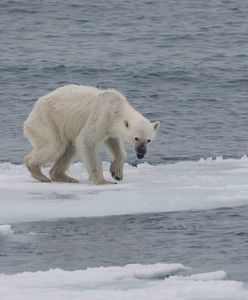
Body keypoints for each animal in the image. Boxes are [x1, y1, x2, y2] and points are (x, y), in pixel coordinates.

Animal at [22, 83, 159, 184]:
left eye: (148, 140)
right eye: (136, 138)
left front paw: (117, 173)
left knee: (69, 147)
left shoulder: (109, 128)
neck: (116, 108)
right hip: (47, 121)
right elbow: (86, 141)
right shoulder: (101, 115)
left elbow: (114, 143)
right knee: (55, 145)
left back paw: (65, 177)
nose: (141, 153)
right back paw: (40, 174)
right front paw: (103, 181)